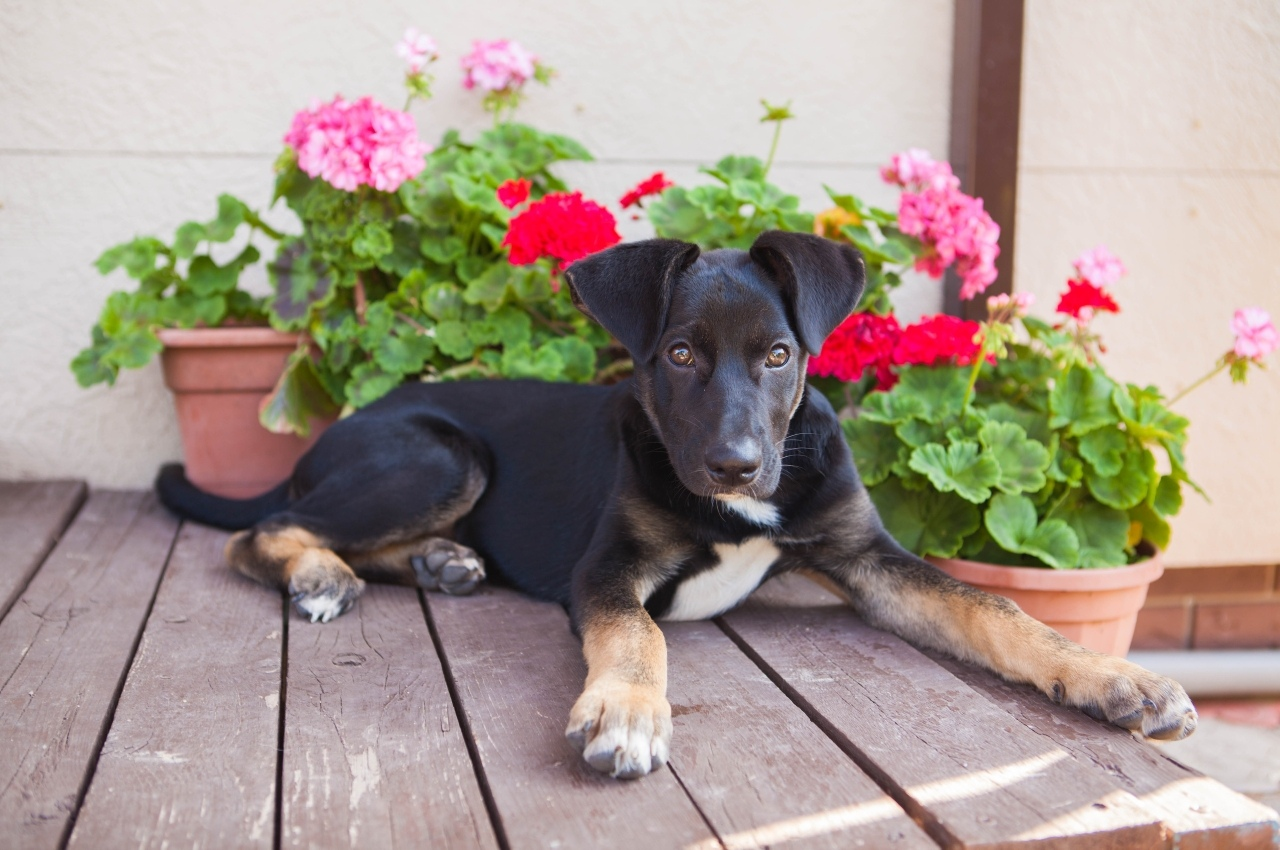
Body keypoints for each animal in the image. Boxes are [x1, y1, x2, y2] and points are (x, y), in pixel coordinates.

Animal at [160, 229, 1198, 778]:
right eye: (681, 355)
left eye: (779, 355)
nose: (736, 467)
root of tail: (346, 424)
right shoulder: (609, 567)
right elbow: (639, 634)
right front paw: (625, 712)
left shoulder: (867, 557)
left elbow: (996, 607)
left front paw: (1117, 681)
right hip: (441, 455)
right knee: (261, 530)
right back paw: (325, 574)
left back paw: (441, 560)